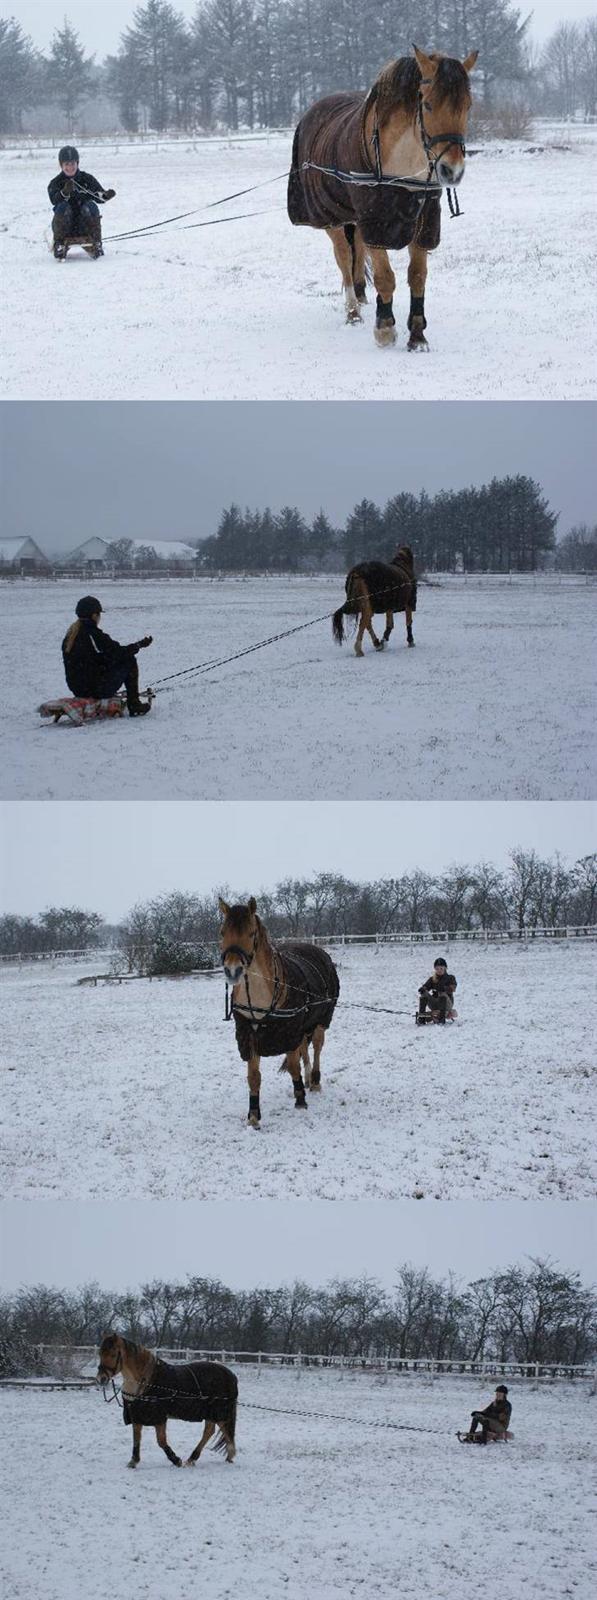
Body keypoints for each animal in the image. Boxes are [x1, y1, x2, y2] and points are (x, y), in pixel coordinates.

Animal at [97, 1333, 238, 1469]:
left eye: (113, 1354)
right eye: (100, 1353)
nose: (101, 1379)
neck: (147, 1382)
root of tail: (230, 1374)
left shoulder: (159, 1417)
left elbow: (161, 1441)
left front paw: (176, 1460)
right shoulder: (137, 1416)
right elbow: (136, 1439)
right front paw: (133, 1461)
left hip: (219, 1412)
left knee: (222, 1430)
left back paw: (226, 1456)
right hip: (211, 1413)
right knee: (210, 1431)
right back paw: (195, 1458)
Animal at [219, 896, 340, 1127]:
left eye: (251, 933)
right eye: (222, 932)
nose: (232, 971)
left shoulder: (289, 1032)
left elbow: (293, 1066)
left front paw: (300, 1100)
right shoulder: (249, 1035)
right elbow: (254, 1077)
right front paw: (254, 1116)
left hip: (321, 1020)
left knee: (316, 1047)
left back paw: (315, 1081)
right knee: (305, 1050)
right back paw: (308, 1079)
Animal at [288, 45, 478, 349]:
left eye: (467, 106)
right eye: (427, 105)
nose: (452, 171)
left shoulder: (424, 219)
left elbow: (417, 275)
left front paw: (417, 335)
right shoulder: (374, 220)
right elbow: (385, 277)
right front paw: (385, 328)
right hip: (333, 217)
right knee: (344, 259)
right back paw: (353, 312)